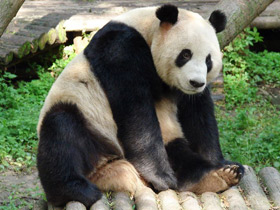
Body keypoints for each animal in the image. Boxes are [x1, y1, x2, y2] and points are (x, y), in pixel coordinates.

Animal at [36, 4, 243, 208]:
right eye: (185, 54)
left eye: (208, 60)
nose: (196, 82)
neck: (147, 30)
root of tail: (105, 167)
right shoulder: (120, 51)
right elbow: (136, 112)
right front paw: (162, 178)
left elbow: (198, 115)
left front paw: (220, 162)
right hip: (86, 116)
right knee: (61, 131)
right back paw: (77, 190)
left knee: (178, 150)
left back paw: (221, 174)